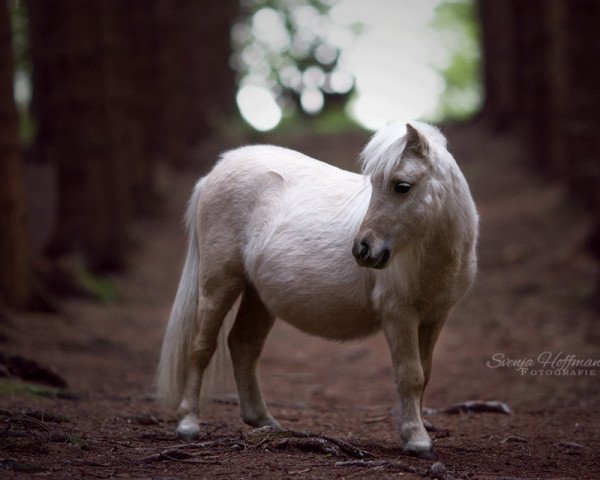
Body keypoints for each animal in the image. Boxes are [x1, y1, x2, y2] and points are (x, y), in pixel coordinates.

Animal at [156, 122, 478, 460]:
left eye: (402, 186)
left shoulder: (435, 316)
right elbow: (409, 375)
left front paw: (419, 431)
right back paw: (188, 423)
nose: (363, 250)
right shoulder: (398, 314)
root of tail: (215, 172)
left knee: (243, 345)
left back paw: (265, 422)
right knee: (201, 347)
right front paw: (416, 440)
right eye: (375, 185)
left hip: (259, 296)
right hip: (218, 283)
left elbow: (425, 373)